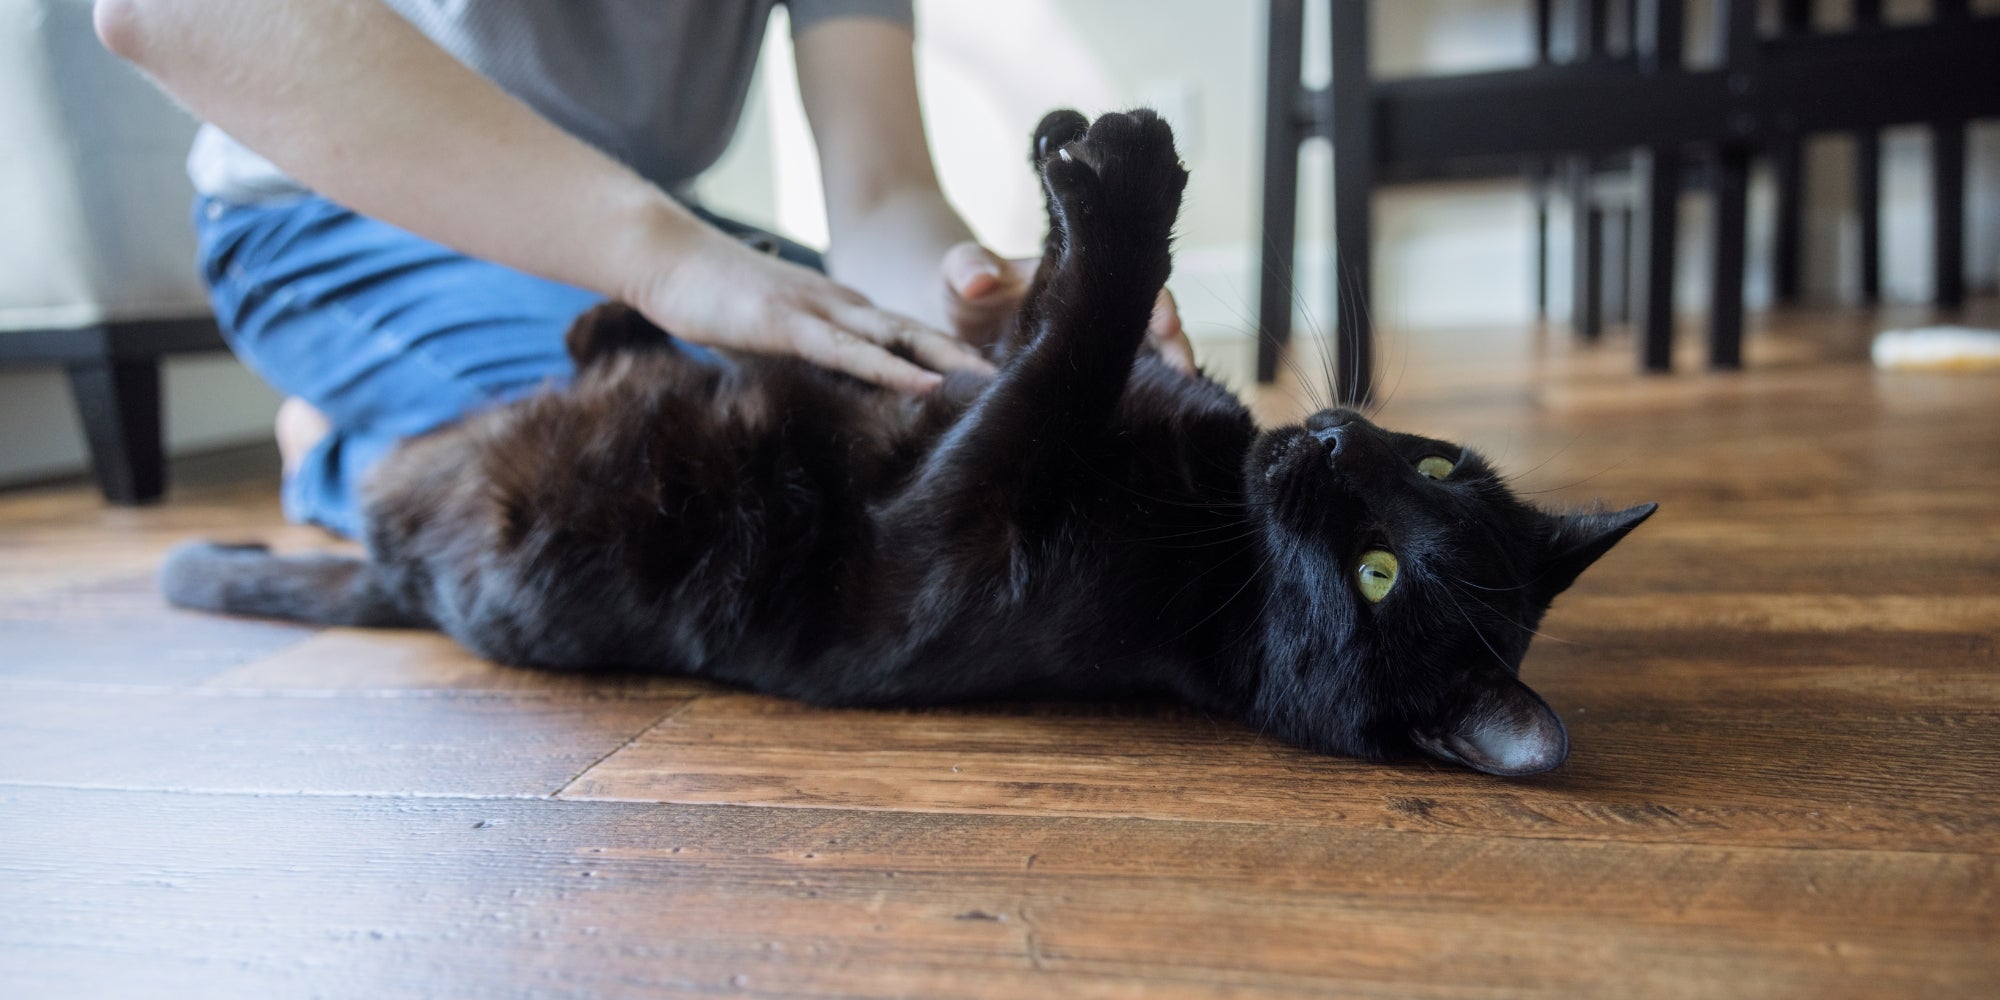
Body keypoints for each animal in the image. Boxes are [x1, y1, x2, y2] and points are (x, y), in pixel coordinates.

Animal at [160, 111, 1656, 780]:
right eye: (1438, 464)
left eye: (1378, 574)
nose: (1340, 442)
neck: (1210, 513)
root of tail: (390, 568)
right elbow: (1042, 329)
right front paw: (1060, 171)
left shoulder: (954, 528)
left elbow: (1063, 356)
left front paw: (1125, 187)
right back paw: (622, 321)